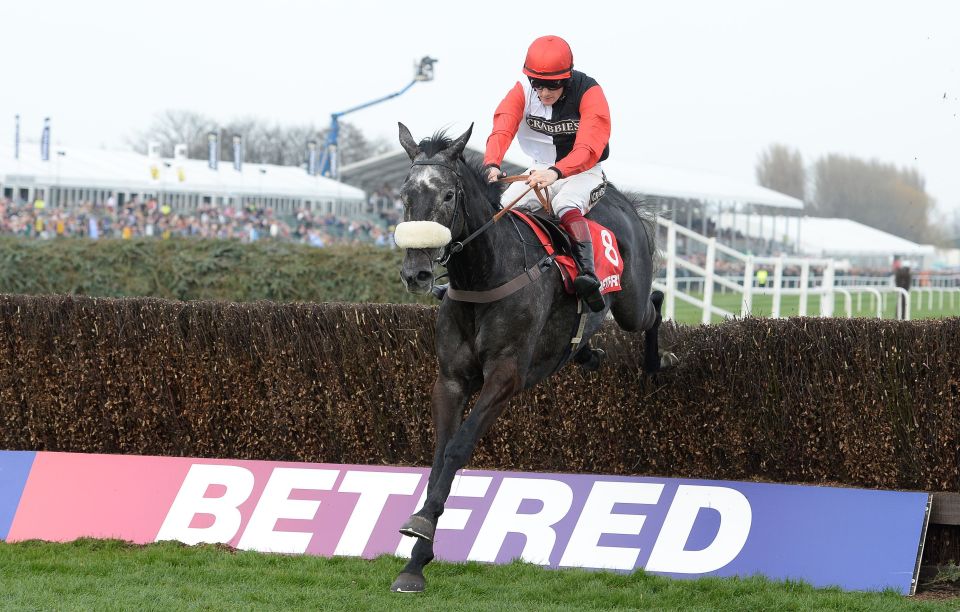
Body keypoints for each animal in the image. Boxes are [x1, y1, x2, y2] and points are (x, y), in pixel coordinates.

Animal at [388, 123, 676, 592]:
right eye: (405, 195)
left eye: (448, 195)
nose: (417, 273)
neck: (486, 276)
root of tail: (620, 198)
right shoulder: (450, 379)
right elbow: (439, 452)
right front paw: (416, 559)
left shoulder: (505, 377)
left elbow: (457, 449)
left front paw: (421, 534)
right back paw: (587, 351)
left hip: (629, 301)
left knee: (652, 301)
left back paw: (658, 360)